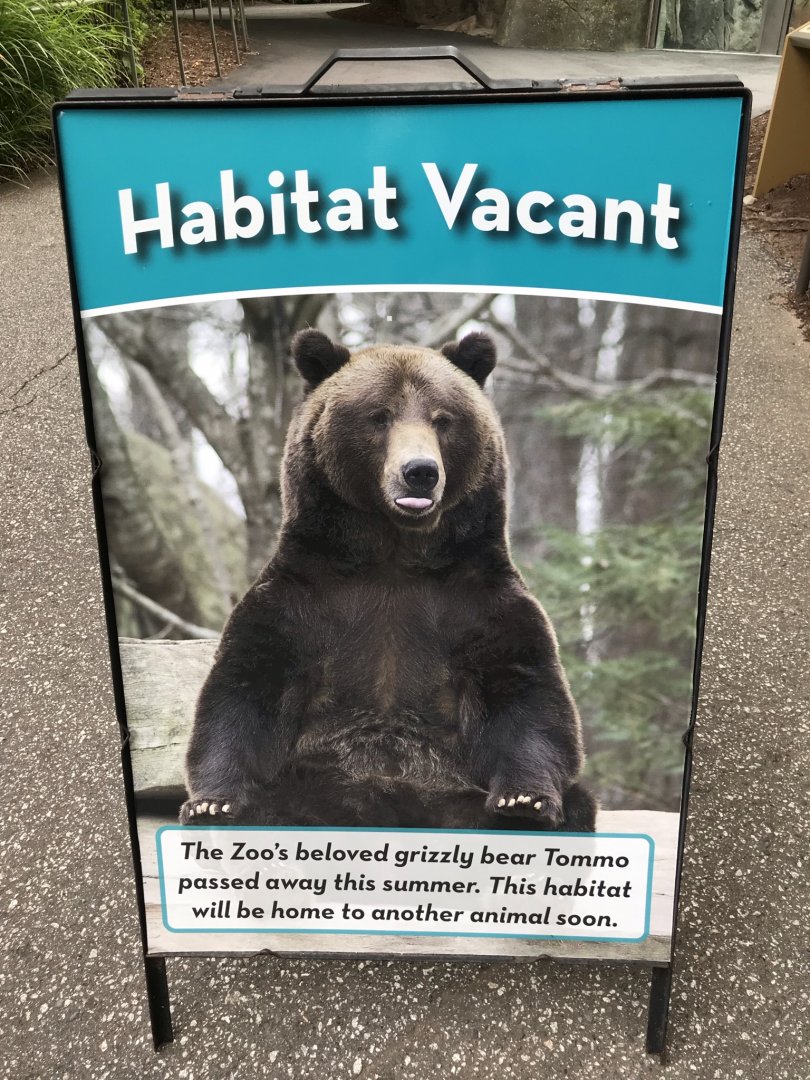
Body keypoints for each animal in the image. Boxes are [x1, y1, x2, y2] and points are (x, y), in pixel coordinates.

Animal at [179, 329, 596, 833]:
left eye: (442, 419)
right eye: (379, 416)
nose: (420, 471)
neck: (396, 552)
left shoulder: (478, 599)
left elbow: (522, 694)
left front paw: (524, 800)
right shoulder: (302, 595)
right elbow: (247, 688)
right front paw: (212, 802)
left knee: (577, 802)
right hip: (308, 786)